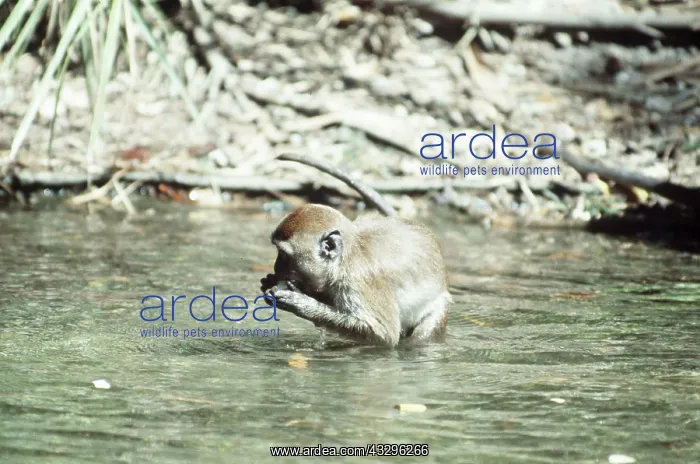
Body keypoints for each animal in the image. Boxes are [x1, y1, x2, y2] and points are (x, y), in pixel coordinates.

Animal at [260, 153, 451, 347]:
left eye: (283, 255)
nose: (276, 267)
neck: (345, 259)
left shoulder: (358, 281)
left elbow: (385, 335)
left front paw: (302, 304)